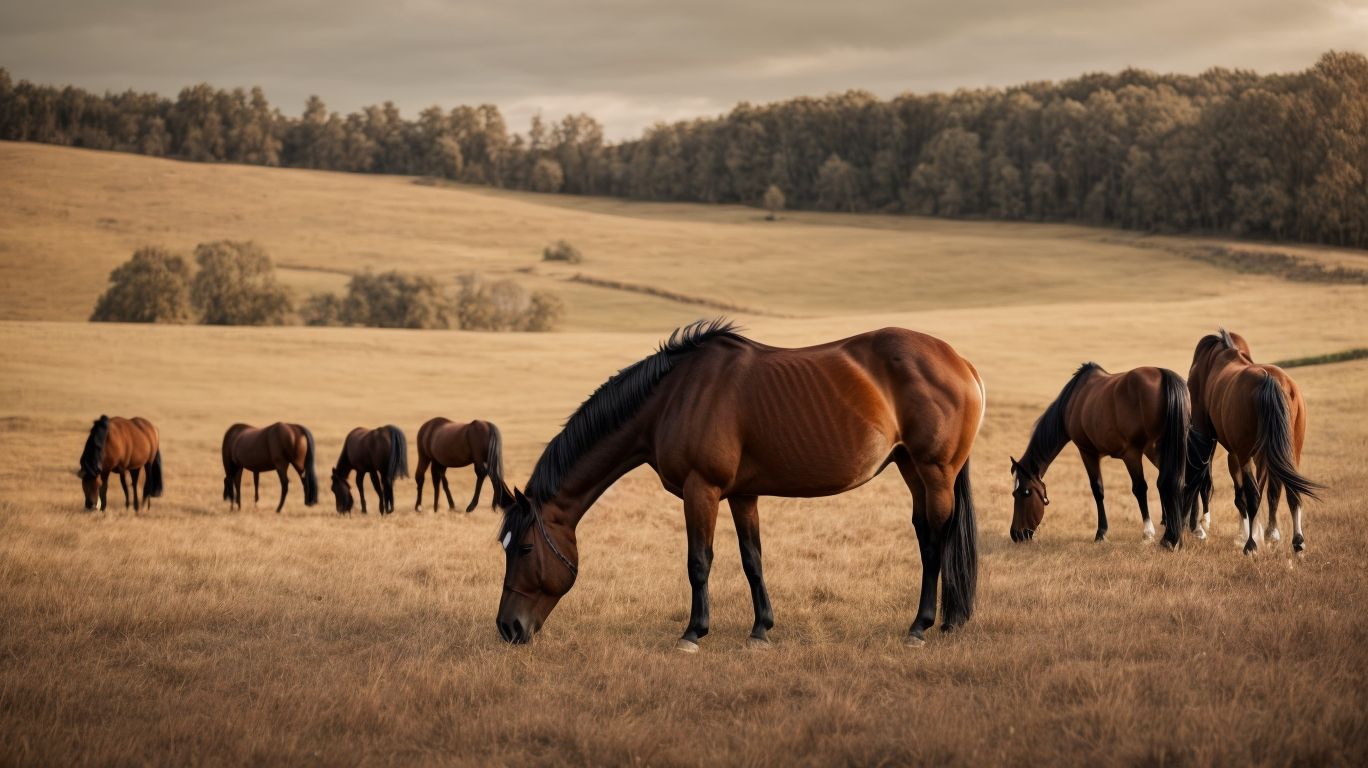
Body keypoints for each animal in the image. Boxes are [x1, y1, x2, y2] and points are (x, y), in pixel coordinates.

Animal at [495, 319, 984, 650]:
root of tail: (960, 362)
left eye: (524, 548)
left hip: (935, 471)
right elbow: (753, 560)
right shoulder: (743, 494)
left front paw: (693, 633)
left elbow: (699, 562)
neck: (674, 396)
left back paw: (921, 626)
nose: (507, 627)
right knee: (925, 536)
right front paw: (760, 630)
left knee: (937, 539)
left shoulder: (702, 490)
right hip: (912, 469)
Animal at [1009, 363, 1189, 548]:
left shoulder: (1088, 452)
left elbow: (1098, 489)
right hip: (1159, 450)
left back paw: (1153, 534)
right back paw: (1174, 533)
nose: (1017, 534)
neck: (1073, 400)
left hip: (1135, 455)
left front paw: (1101, 533)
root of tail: (1162, 373)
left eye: (1025, 492)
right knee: (1173, 482)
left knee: (1142, 487)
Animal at [1184, 329, 1320, 554]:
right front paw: (1266, 533)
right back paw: (1296, 541)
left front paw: (1246, 536)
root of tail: (1271, 380)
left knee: (1253, 495)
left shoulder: (1216, 443)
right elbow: (1267, 490)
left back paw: (1250, 545)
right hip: (1290, 450)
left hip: (1246, 453)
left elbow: (1236, 493)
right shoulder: (1257, 455)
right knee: (1289, 491)